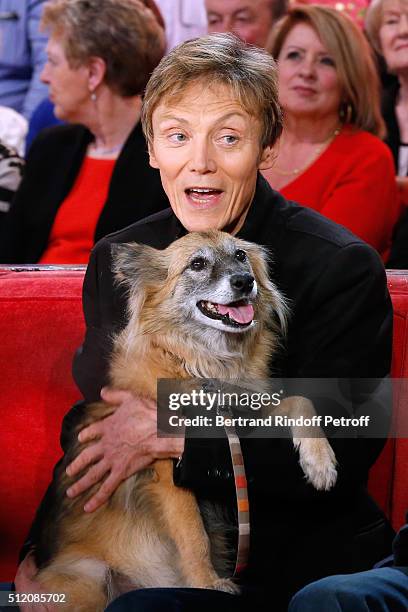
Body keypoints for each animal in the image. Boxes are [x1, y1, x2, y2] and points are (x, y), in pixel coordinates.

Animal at [31, 232, 338, 608]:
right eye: (197, 264)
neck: (205, 364)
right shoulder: (167, 474)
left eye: (240, 256)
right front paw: (207, 582)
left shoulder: (243, 424)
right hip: (89, 581)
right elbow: (194, 535)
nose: (244, 281)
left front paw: (320, 463)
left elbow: (301, 401)